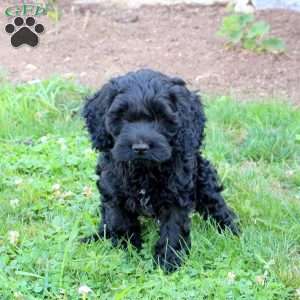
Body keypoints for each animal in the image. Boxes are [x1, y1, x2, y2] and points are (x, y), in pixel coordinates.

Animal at [82, 69, 239, 272]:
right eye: (122, 117)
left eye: (161, 117)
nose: (140, 148)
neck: (143, 170)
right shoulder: (114, 194)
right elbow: (120, 223)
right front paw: (128, 253)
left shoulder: (176, 197)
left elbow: (173, 228)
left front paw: (169, 261)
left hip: (203, 178)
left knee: (216, 205)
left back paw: (232, 230)